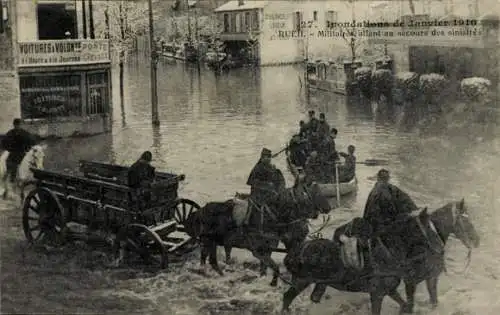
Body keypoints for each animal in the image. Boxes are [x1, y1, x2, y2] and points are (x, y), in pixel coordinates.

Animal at [184, 181, 332, 288]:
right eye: (309, 195)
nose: (328, 208)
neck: (268, 217)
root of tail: (200, 211)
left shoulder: (267, 249)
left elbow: (265, 267)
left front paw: (263, 278)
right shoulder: (257, 251)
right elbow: (274, 266)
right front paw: (273, 282)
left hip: (209, 241)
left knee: (205, 257)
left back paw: (205, 271)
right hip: (210, 240)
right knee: (212, 260)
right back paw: (220, 275)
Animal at [282, 200, 480, 315]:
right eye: (465, 220)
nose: (477, 241)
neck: (390, 253)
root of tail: (297, 250)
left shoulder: (392, 289)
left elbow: (407, 306)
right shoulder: (380, 293)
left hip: (316, 283)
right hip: (301, 281)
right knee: (287, 297)